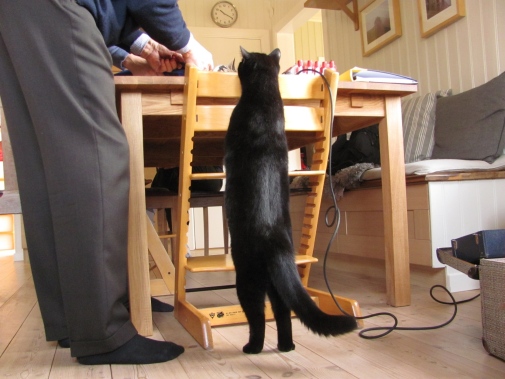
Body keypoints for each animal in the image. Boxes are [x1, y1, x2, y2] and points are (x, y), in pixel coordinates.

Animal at [222, 47, 356, 356]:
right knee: (283, 311)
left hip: (247, 277)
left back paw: (253, 347)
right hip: (276, 283)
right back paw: (287, 346)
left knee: (258, 316)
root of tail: (277, 243)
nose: (235, 65)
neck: (265, 101)